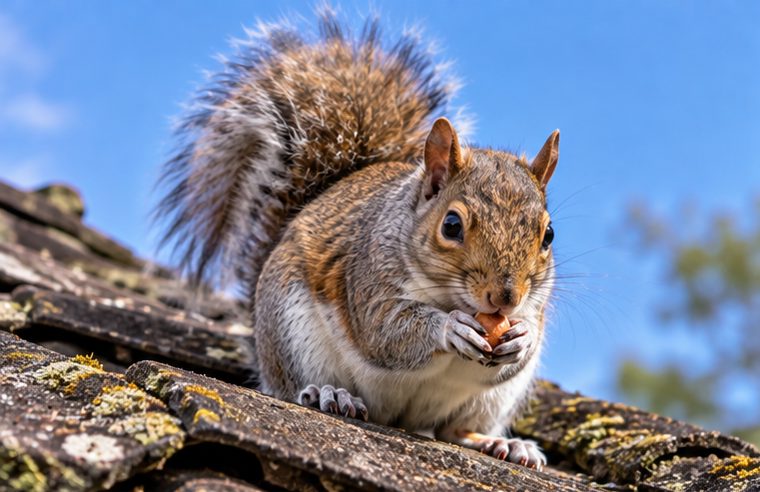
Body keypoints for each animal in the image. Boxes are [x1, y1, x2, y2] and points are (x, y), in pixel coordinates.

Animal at [157, 10, 559, 471]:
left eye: (548, 234)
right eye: (452, 226)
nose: (505, 298)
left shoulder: (535, 309)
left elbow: (516, 353)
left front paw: (521, 336)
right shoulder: (367, 277)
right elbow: (385, 331)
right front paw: (449, 328)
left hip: (491, 401)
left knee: (453, 430)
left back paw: (502, 444)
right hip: (291, 332)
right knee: (295, 387)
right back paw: (330, 394)